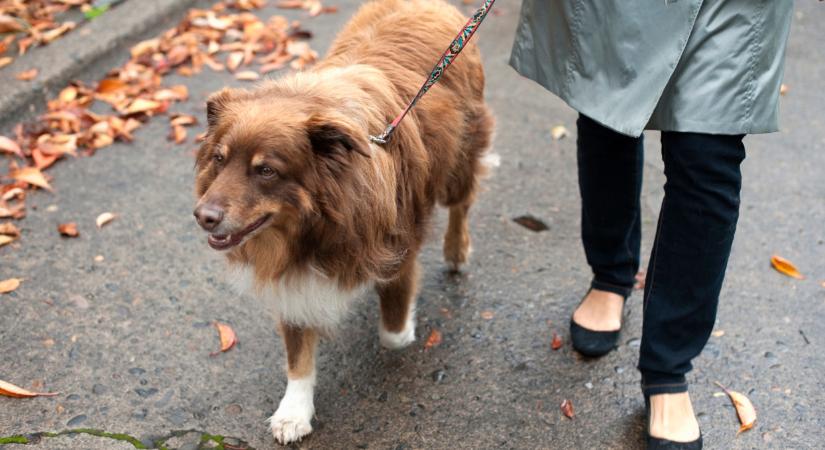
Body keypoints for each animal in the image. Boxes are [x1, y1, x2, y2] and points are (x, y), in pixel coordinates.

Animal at [192, 0, 490, 442]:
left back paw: (456, 250)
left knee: (461, 205)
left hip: (461, 156)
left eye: (266, 171)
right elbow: (298, 354)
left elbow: (393, 333)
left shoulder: (397, 249)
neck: (314, 226)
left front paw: (401, 323)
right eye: (219, 159)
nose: (202, 217)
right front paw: (294, 411)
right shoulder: (291, 277)